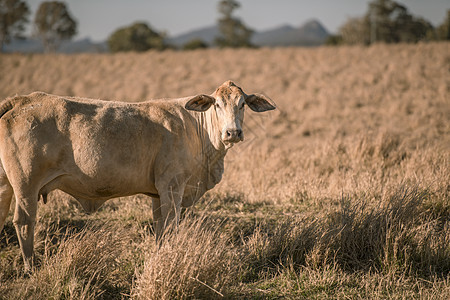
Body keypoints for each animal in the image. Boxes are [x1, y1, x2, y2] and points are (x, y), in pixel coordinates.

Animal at [0, 80, 276, 272]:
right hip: (26, 185)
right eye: (217, 105)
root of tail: (22, 100)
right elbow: (171, 226)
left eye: (242, 104)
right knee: (24, 222)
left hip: (6, 185)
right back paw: (31, 267)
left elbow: (160, 228)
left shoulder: (158, 193)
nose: (233, 133)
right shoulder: (172, 186)